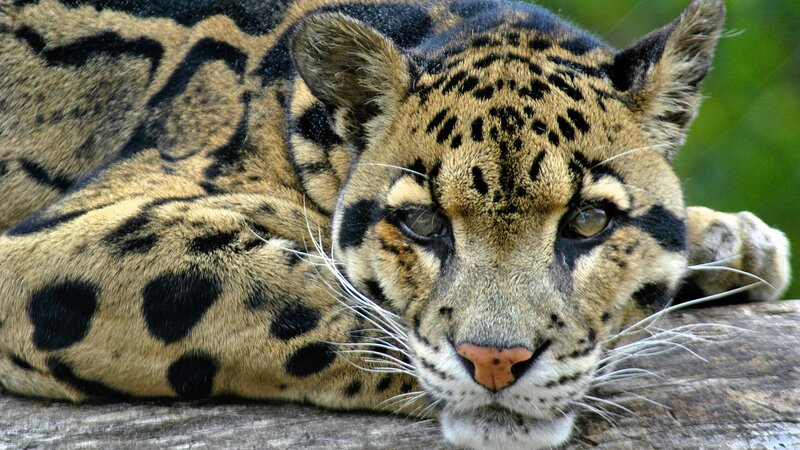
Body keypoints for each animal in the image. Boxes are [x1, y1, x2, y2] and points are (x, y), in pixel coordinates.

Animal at [0, 0, 791, 448]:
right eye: (420, 223)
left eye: (589, 220)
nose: (496, 362)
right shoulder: (47, 246)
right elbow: (301, 296)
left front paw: (734, 242)